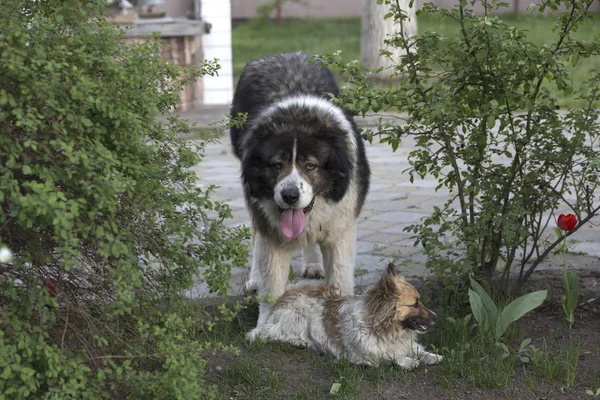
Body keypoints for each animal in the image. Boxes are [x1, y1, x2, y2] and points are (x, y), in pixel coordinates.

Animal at [231, 51, 368, 326]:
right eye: (277, 164)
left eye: (310, 166)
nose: (290, 196)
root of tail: (282, 54)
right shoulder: (271, 233)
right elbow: (272, 286)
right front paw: (265, 326)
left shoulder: (341, 228)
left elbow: (339, 279)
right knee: (256, 235)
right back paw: (254, 278)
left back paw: (313, 265)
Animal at [246, 262, 442, 368]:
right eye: (415, 304)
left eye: (419, 301)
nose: (436, 317)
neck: (383, 328)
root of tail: (286, 294)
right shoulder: (361, 355)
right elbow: (389, 355)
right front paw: (408, 361)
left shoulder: (404, 343)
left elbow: (416, 349)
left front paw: (432, 356)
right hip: (297, 318)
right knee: (267, 334)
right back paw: (299, 342)